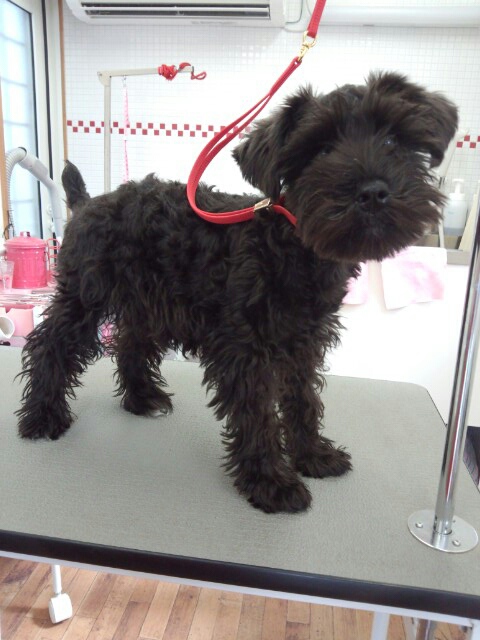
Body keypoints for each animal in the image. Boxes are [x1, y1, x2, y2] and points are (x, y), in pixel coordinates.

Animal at [16, 72, 457, 513]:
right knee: (49, 345)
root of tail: (87, 203)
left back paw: (142, 399)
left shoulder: (304, 342)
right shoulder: (246, 351)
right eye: (320, 149)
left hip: (150, 303)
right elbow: (257, 414)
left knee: (131, 343)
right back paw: (42, 417)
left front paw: (313, 455)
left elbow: (303, 400)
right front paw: (271, 482)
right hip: (85, 298)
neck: (290, 241)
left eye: (393, 140)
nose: (372, 192)